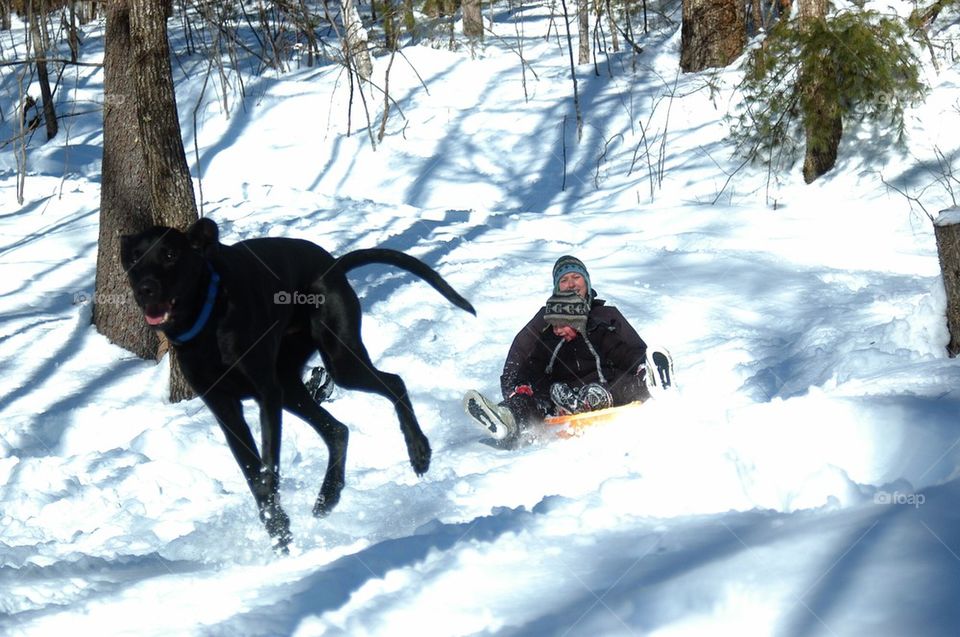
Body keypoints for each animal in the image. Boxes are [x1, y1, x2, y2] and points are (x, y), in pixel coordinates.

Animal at [120, 217, 476, 548]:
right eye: (135, 259)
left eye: (170, 254)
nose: (144, 289)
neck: (206, 322)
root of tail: (332, 265)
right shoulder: (224, 407)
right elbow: (252, 473)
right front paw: (276, 528)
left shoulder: (266, 393)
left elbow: (267, 466)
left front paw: (276, 517)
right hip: (291, 386)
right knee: (338, 430)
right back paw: (328, 496)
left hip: (339, 360)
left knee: (394, 383)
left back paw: (418, 451)